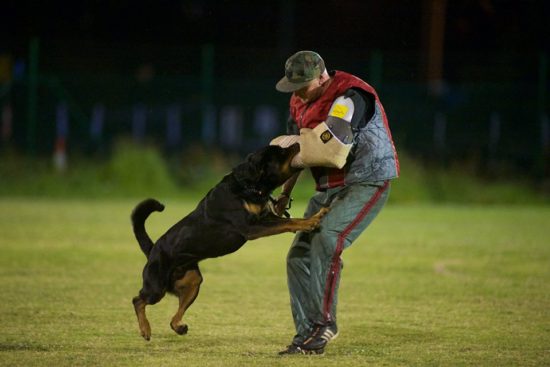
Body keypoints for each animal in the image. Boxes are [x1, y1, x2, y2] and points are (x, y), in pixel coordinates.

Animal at [132, 144, 330, 342]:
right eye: (281, 152)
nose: (296, 144)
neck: (250, 186)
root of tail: (152, 249)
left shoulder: (266, 217)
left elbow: (289, 220)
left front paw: (313, 218)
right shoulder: (252, 227)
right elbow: (289, 223)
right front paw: (311, 221)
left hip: (193, 282)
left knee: (173, 316)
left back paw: (179, 327)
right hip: (156, 286)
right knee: (138, 300)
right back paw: (145, 329)